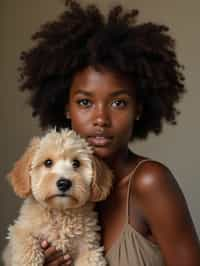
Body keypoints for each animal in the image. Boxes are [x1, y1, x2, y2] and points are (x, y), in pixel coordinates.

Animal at [2, 129, 112, 266]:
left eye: (76, 163)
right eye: (48, 162)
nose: (64, 183)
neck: (61, 212)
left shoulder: (90, 249)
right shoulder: (19, 230)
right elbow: (27, 243)